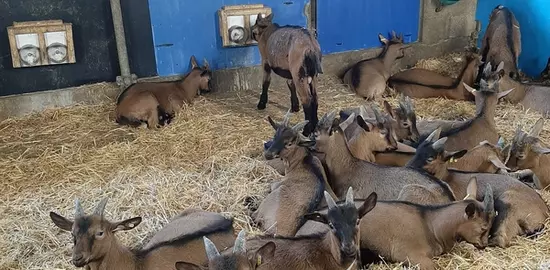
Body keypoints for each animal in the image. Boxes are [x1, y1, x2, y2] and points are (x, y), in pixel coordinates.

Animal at [408, 132, 548, 248]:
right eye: (418, 150)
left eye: (430, 158)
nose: (409, 167)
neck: (449, 177)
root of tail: (544, 212)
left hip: (508, 206)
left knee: (500, 239)